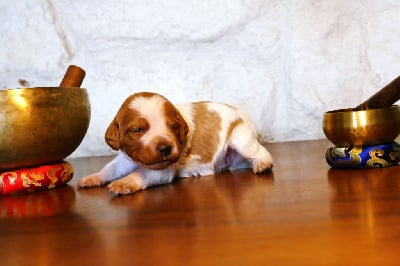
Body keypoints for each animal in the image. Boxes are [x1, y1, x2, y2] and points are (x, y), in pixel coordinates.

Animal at [77, 92, 274, 195]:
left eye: (173, 127)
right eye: (138, 130)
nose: (165, 148)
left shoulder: (163, 169)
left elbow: (141, 172)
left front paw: (124, 183)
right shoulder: (126, 157)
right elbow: (110, 168)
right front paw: (93, 178)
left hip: (242, 138)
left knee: (261, 152)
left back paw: (263, 165)